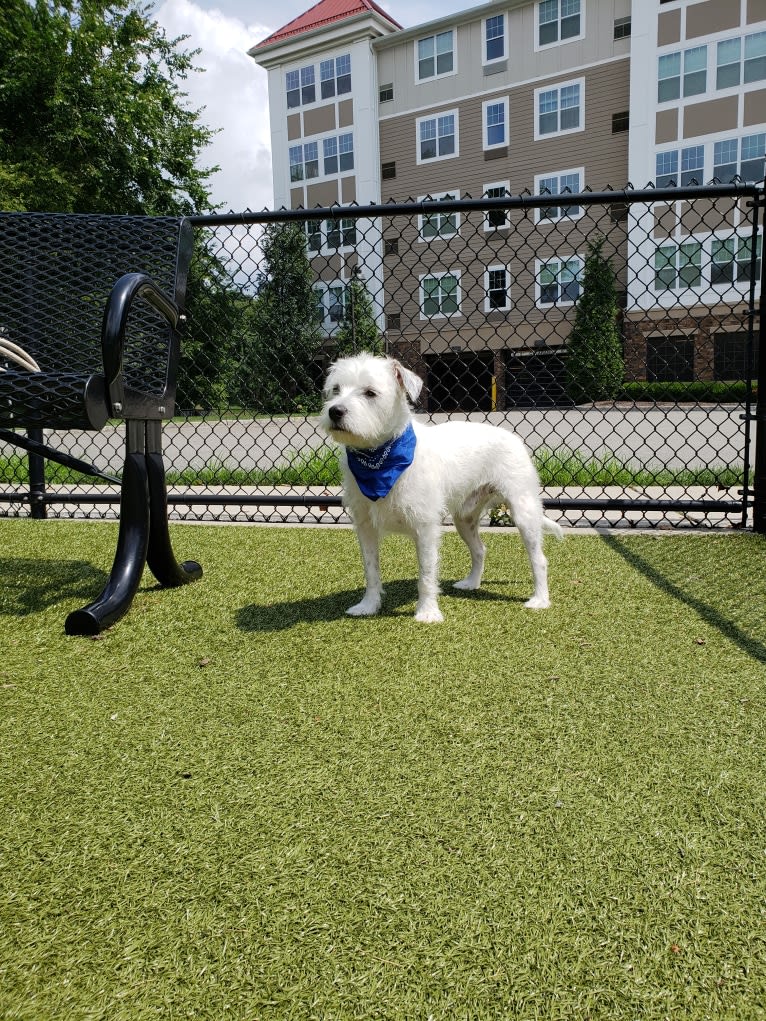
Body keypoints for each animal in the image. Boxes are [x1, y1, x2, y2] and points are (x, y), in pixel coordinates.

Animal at [318, 351, 563, 620]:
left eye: (370, 393)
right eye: (336, 389)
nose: (335, 411)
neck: (379, 459)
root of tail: (513, 437)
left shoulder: (425, 528)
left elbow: (426, 574)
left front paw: (427, 612)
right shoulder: (365, 527)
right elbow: (371, 571)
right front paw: (368, 606)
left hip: (523, 511)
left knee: (539, 559)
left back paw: (540, 599)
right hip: (465, 519)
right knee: (480, 549)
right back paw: (471, 583)